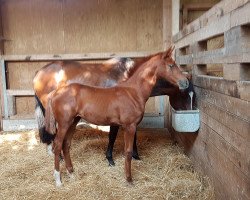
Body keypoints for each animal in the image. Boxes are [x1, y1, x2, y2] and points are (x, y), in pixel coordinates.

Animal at [45, 48, 188, 186]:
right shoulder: (129, 126)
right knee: (57, 145)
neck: (133, 92)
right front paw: (129, 179)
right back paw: (58, 180)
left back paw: (71, 173)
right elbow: (128, 152)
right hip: (64, 123)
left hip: (73, 122)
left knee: (66, 145)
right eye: (171, 65)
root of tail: (55, 92)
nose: (185, 82)